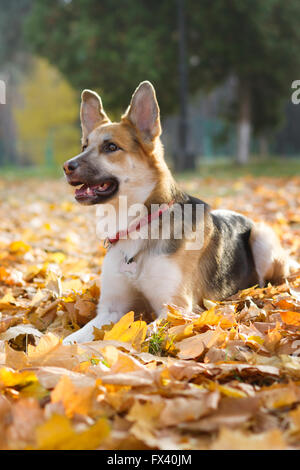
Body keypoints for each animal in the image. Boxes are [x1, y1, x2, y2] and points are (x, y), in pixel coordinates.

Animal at [62, 81, 298, 344]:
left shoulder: (175, 309)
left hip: (262, 236)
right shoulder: (110, 309)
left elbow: (141, 333)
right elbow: (71, 340)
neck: (138, 225)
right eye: (84, 146)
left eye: (111, 147)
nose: (67, 167)